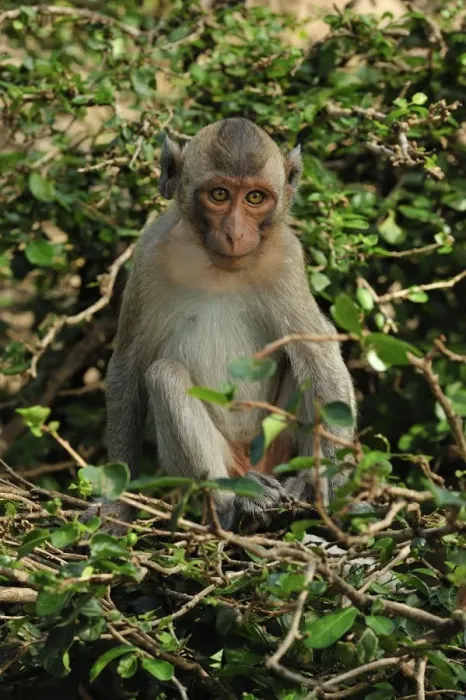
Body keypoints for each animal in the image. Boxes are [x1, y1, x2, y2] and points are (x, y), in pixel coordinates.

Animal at [87, 117, 356, 533]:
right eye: (219, 194)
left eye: (255, 198)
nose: (235, 233)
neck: (218, 267)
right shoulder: (150, 254)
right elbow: (127, 369)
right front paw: (117, 507)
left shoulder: (287, 258)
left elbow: (318, 355)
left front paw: (334, 482)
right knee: (165, 375)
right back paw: (236, 502)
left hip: (277, 443)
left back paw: (298, 489)